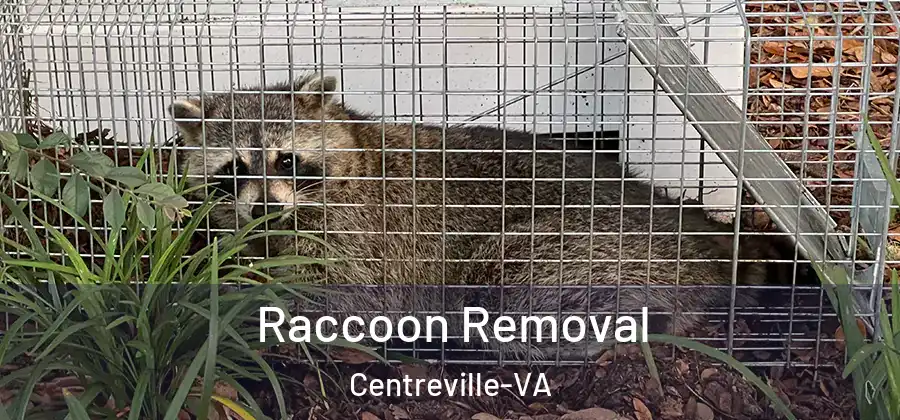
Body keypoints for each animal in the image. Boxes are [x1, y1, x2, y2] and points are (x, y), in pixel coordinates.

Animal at [168, 73, 794, 360]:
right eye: (234, 169)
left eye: (286, 160)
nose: (265, 206)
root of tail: (698, 239)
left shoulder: (364, 235)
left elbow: (342, 297)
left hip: (576, 246)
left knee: (508, 287)